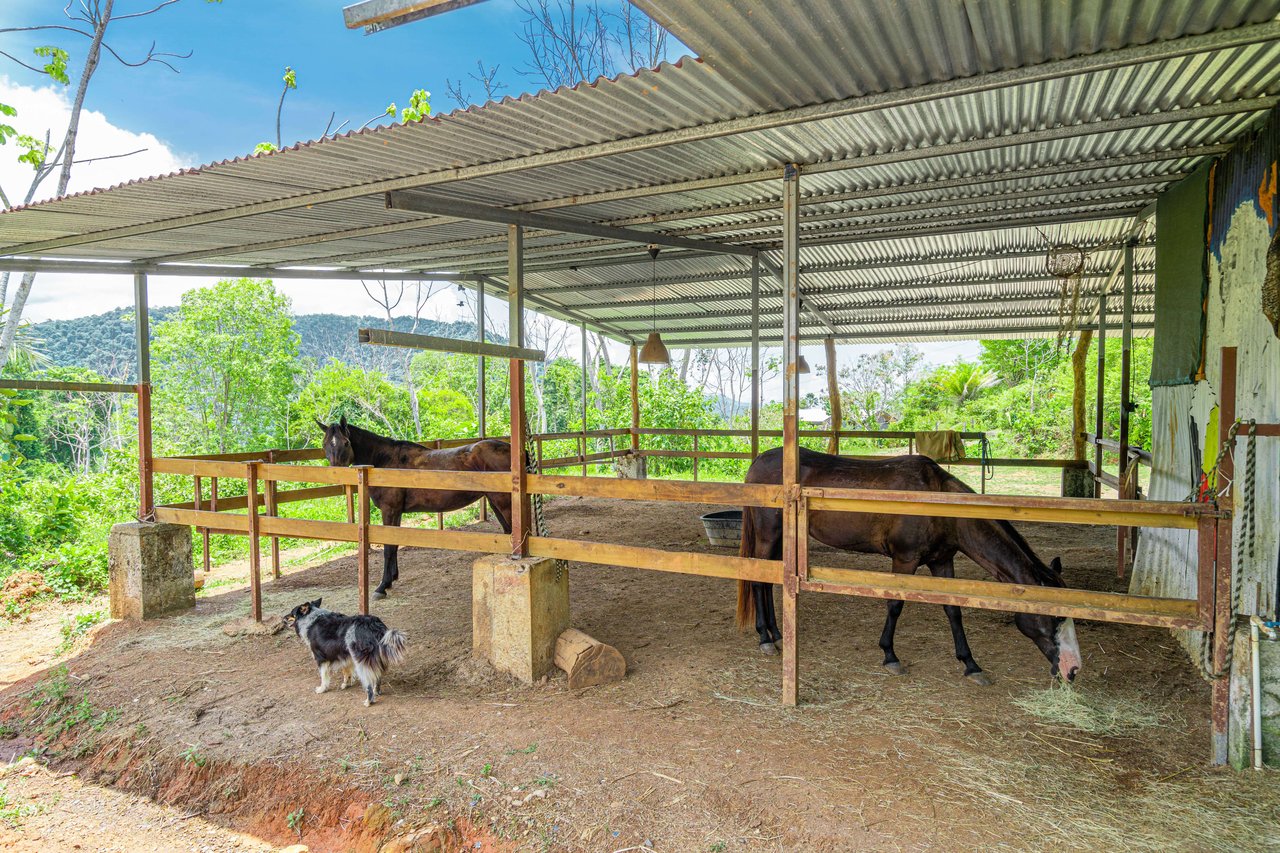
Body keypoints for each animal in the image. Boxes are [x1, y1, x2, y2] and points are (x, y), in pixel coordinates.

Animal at [317, 414, 512, 594]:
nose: (336, 475)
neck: (383, 461)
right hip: (495, 502)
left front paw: (382, 586)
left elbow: (388, 548)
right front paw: (392, 578)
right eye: (324, 444)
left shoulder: (389, 510)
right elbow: (394, 544)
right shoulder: (397, 512)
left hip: (504, 503)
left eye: (346, 443)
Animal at [742, 445, 1080, 676]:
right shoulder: (904, 560)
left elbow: (953, 610)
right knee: (757, 578)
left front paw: (970, 663)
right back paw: (765, 639)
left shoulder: (942, 562)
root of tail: (758, 461)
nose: (1073, 669)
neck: (938, 504)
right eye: (1054, 617)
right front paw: (890, 655)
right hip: (769, 535)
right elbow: (895, 604)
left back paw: (776, 633)